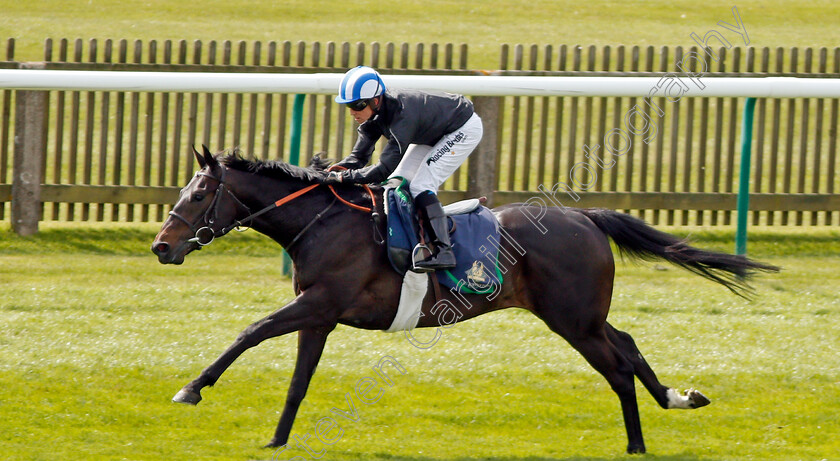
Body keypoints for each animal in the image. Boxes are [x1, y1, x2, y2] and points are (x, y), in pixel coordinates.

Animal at [153, 147, 780, 452]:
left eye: (201, 194)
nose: (162, 246)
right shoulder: (320, 315)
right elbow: (297, 381)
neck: (323, 221)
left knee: (619, 367)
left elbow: (251, 331)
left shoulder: (319, 305)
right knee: (627, 344)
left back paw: (637, 442)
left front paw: (191, 388)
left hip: (572, 320)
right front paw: (278, 439)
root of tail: (586, 216)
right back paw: (677, 399)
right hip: (583, 316)